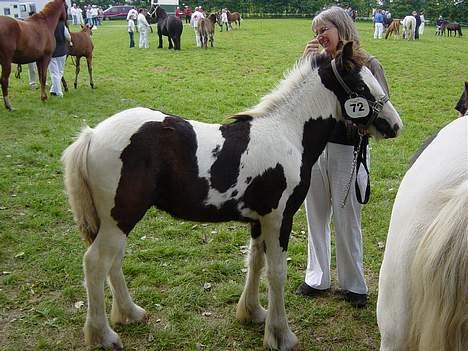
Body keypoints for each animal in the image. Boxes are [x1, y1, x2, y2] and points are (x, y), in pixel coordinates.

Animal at [60, 42, 400, 351]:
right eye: (360, 85)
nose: (395, 125)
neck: (288, 134)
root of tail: (92, 135)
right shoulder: (279, 218)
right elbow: (276, 272)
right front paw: (281, 335)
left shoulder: (259, 220)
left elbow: (255, 262)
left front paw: (253, 313)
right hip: (121, 217)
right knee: (95, 264)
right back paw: (103, 336)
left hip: (118, 220)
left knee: (113, 262)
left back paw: (130, 313)